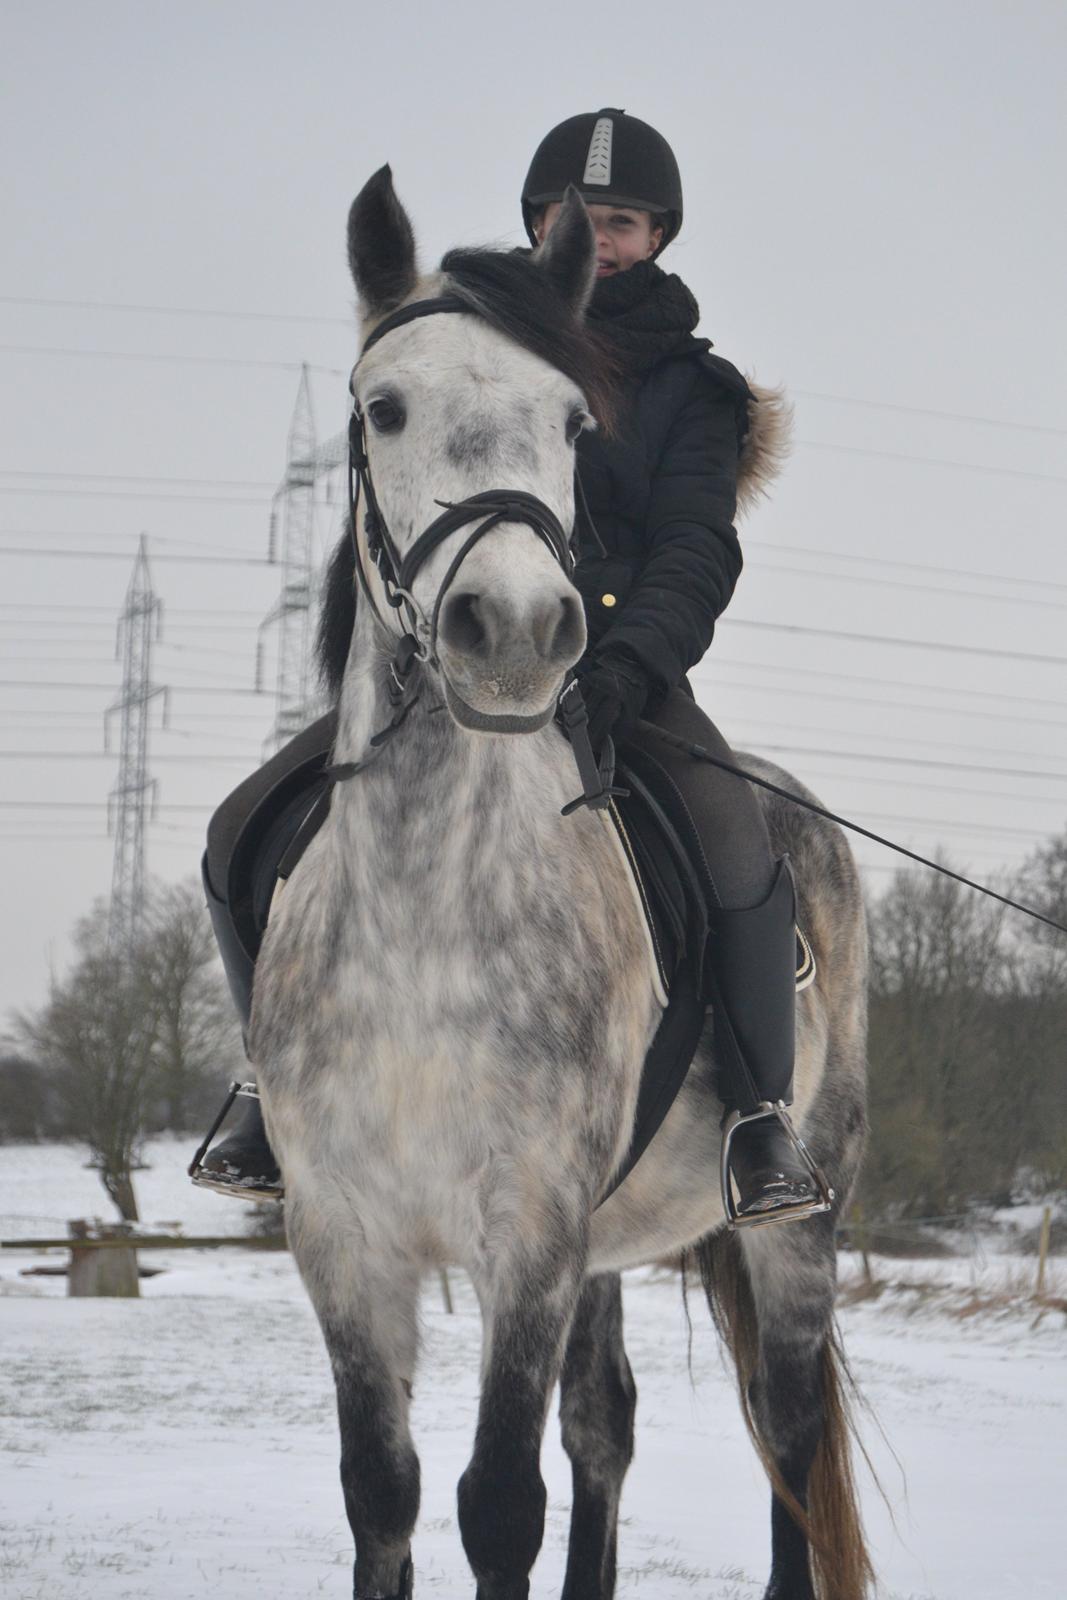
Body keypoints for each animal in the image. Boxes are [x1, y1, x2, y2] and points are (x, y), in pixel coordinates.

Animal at [254, 168, 870, 1593]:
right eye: (383, 406)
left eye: (574, 423)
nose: (522, 634)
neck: (422, 911)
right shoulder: (345, 1240)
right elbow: (383, 1494)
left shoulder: (525, 1232)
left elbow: (495, 1505)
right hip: (608, 1245)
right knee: (607, 1422)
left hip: (790, 1227)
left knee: (786, 1433)